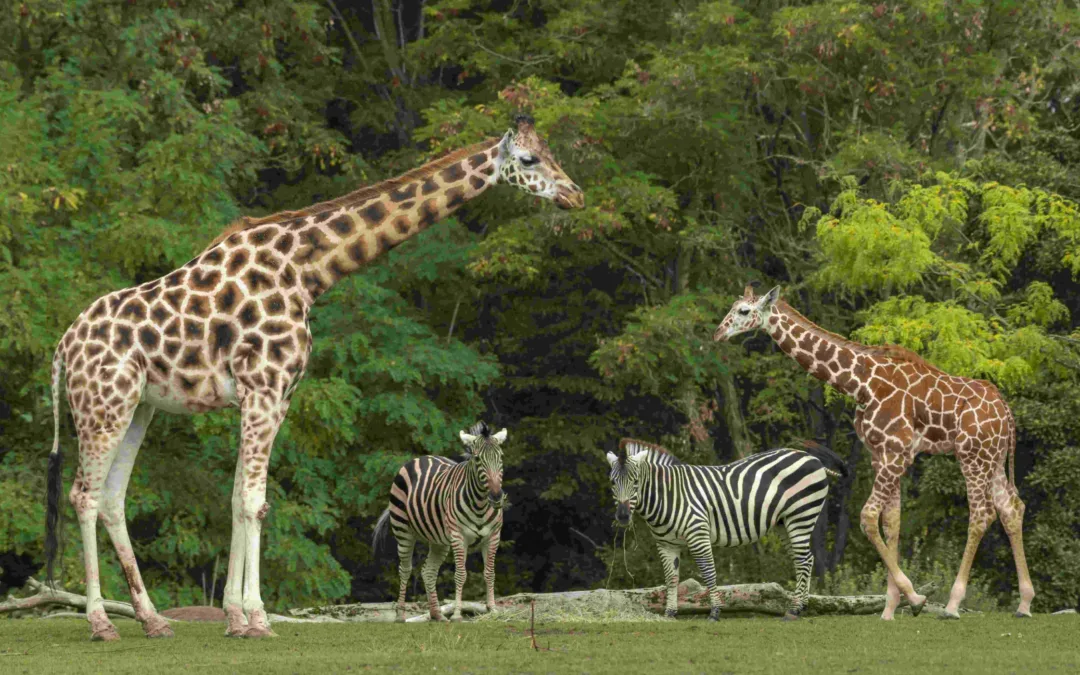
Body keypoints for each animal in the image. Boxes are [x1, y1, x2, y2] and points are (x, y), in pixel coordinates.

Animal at [373, 421, 507, 622]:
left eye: (501, 457)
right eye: (477, 459)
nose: (497, 497)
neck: (481, 506)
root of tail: (422, 457)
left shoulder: (493, 536)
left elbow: (490, 573)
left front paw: (492, 609)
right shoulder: (459, 537)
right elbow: (460, 574)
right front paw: (458, 614)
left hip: (439, 540)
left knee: (428, 571)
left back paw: (437, 614)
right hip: (403, 530)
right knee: (405, 569)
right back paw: (400, 615)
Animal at [609, 440, 842, 617]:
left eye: (636, 482)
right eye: (612, 483)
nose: (622, 516)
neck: (669, 495)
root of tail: (812, 458)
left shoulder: (698, 534)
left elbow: (708, 572)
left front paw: (715, 611)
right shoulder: (666, 544)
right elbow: (671, 579)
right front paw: (670, 613)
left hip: (801, 516)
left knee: (803, 560)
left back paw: (794, 610)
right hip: (784, 524)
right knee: (806, 559)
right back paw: (801, 606)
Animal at [712, 280, 1032, 617]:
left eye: (743, 311)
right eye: (732, 308)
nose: (718, 333)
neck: (860, 384)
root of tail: (1006, 412)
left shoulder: (897, 451)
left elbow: (868, 517)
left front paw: (915, 597)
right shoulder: (881, 454)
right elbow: (891, 521)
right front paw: (890, 608)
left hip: (973, 456)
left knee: (981, 513)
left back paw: (954, 604)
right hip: (993, 457)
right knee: (1011, 507)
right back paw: (1024, 603)